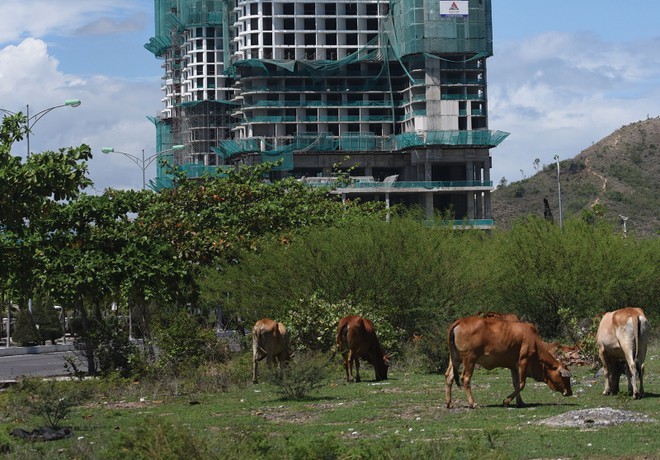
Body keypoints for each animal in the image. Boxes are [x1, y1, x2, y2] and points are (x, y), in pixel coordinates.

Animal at [444, 314, 572, 408]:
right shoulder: (523, 361)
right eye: (565, 377)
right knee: (465, 378)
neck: (534, 341)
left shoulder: (514, 366)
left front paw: (520, 402)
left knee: (449, 377)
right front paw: (506, 401)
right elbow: (521, 384)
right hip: (469, 359)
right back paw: (473, 403)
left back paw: (449, 403)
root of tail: (460, 321)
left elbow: (516, 384)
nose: (570, 392)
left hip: (455, 359)